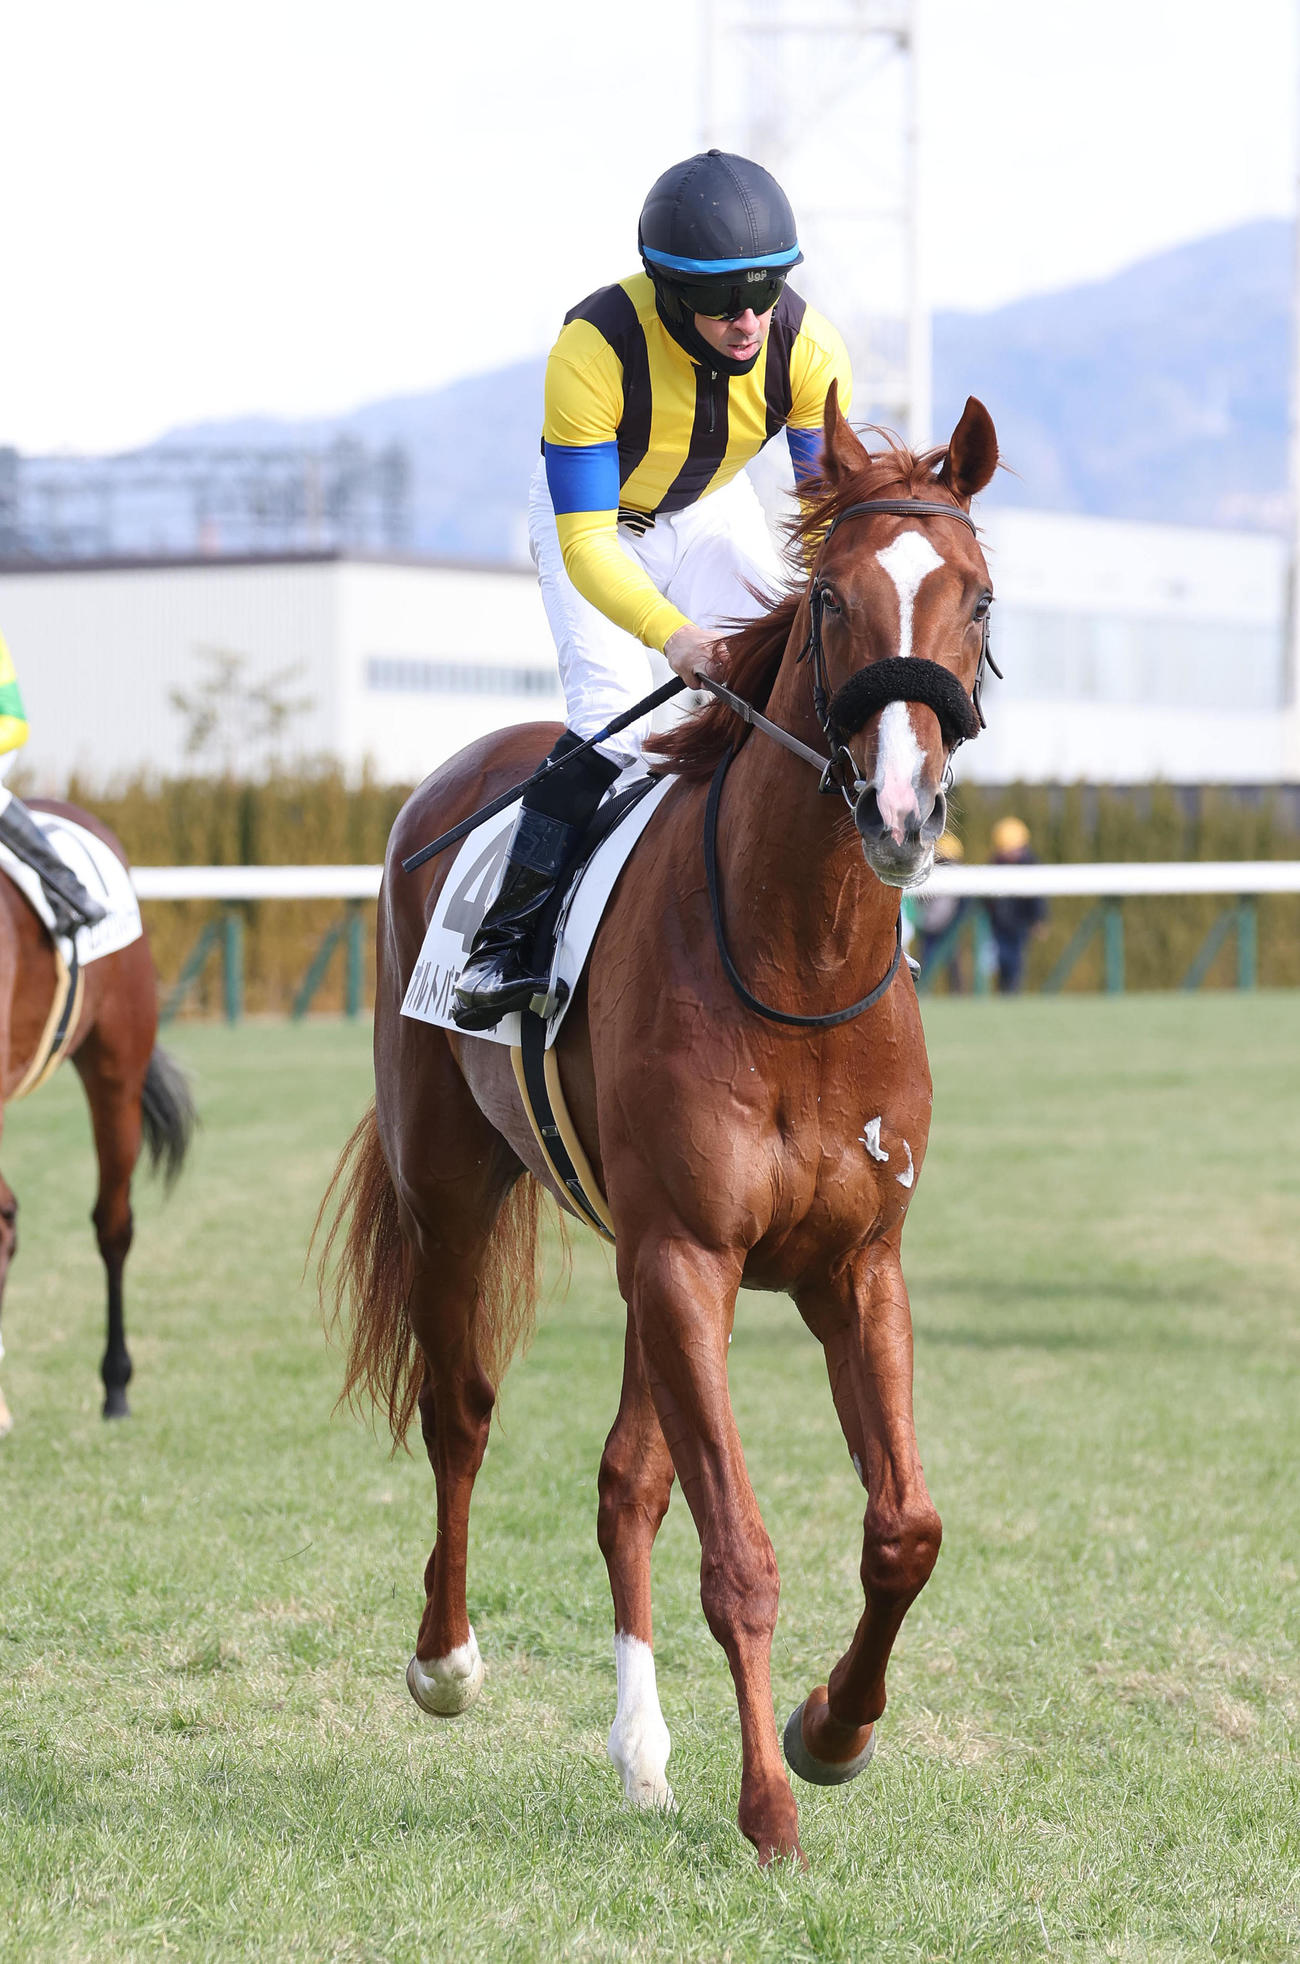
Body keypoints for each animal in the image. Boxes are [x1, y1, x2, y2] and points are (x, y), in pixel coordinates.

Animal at [322, 386, 1000, 1865]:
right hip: (454, 1190)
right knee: (460, 1411)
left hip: (647, 1263)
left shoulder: (849, 1265)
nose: (903, 810)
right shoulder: (690, 1254)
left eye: (975, 595)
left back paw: (640, 1749)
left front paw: (833, 1729)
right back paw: (446, 1658)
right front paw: (771, 1809)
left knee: (626, 1478)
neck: (797, 962)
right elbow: (739, 1553)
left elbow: (905, 1528)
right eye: (835, 604)